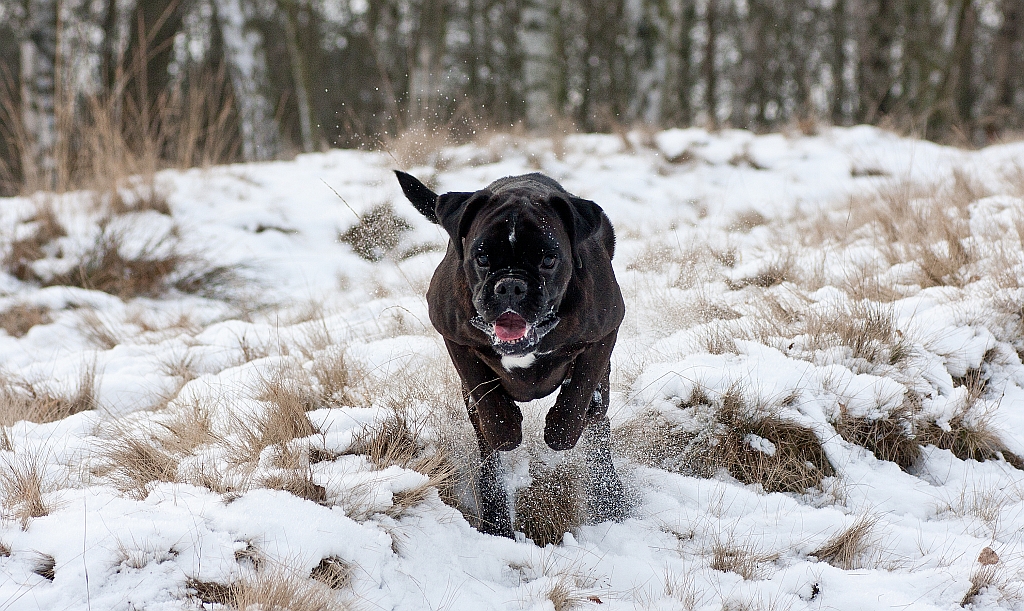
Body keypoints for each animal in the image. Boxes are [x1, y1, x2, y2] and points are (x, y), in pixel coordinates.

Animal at [395, 168, 626, 536]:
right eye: (482, 257)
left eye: (548, 258)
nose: (511, 285)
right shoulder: (457, 341)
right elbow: (487, 399)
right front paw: (507, 430)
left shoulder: (604, 334)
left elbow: (577, 392)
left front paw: (559, 431)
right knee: (488, 454)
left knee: (596, 424)